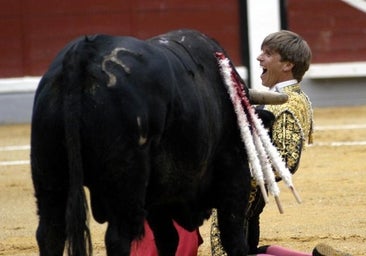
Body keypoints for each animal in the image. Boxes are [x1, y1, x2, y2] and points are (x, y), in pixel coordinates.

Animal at [30, 29, 272, 255]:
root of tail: (83, 54)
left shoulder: (158, 198)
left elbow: (168, 239)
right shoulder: (234, 171)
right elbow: (233, 235)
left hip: (49, 175)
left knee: (50, 232)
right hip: (125, 184)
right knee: (118, 237)